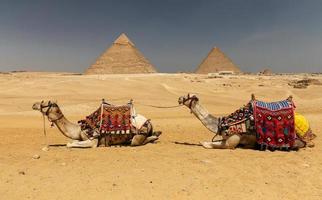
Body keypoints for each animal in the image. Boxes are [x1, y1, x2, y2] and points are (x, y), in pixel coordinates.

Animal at [32, 101, 161, 148]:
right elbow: (72, 141)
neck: (79, 129)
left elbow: (70, 144)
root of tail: (148, 122)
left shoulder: (93, 141)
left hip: (138, 135)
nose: (34, 104)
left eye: (46, 103)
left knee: (140, 141)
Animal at [177, 94, 314, 150]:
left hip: (297, 141)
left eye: (187, 96)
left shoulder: (233, 140)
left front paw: (203, 143)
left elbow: (214, 145)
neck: (221, 124)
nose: (179, 98)